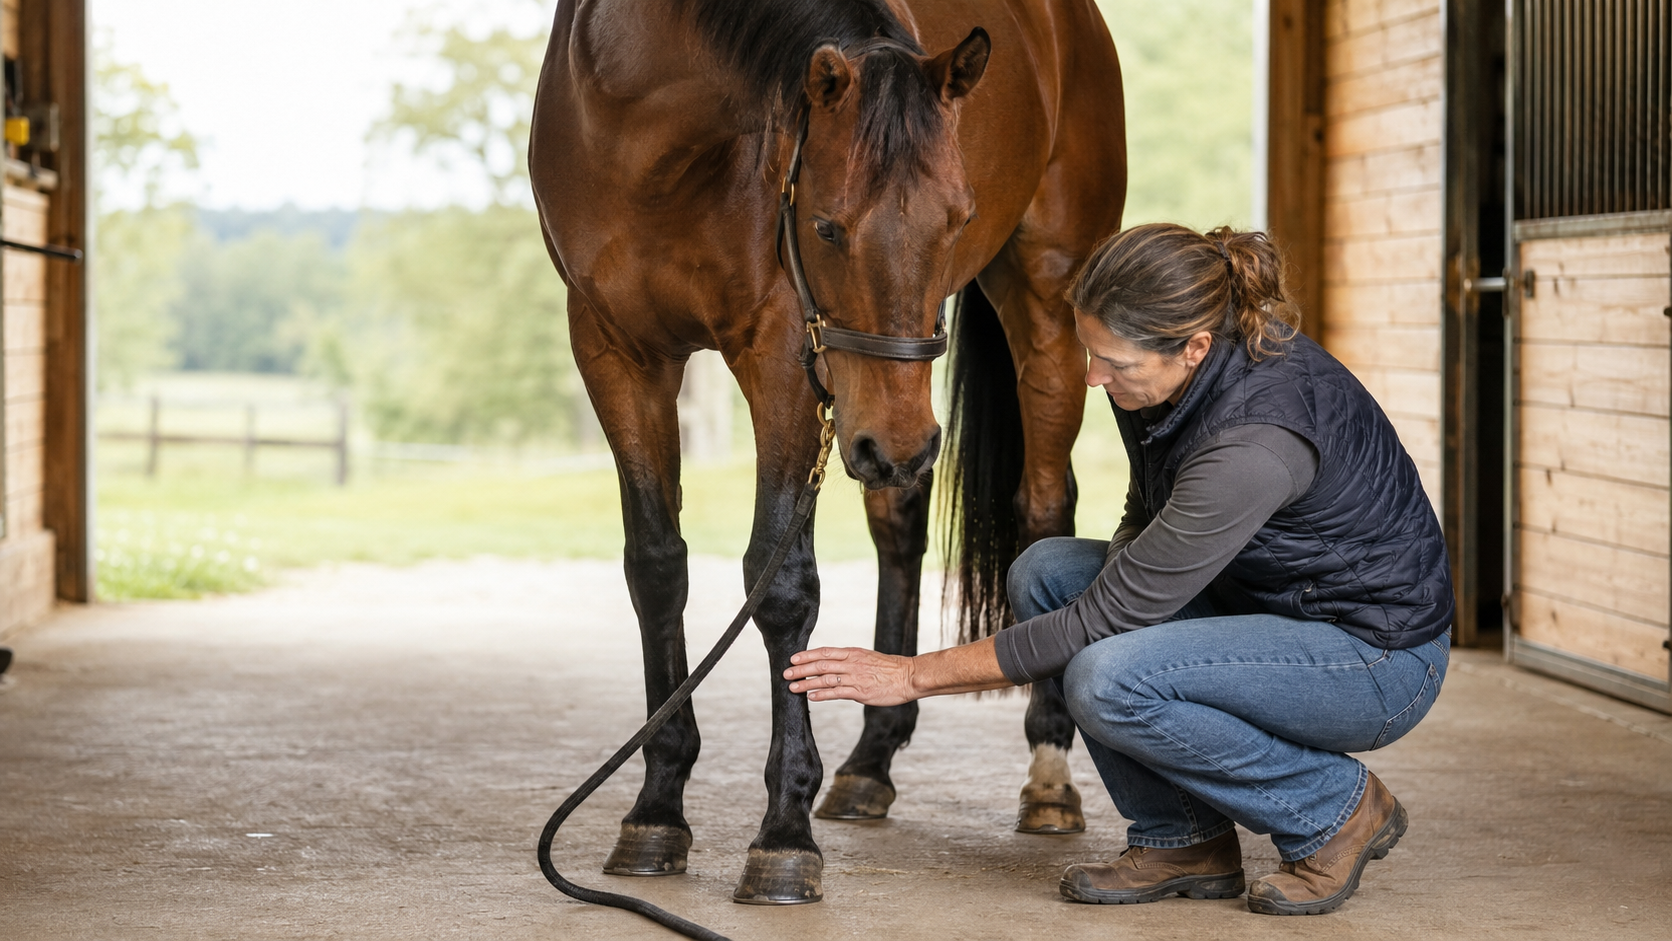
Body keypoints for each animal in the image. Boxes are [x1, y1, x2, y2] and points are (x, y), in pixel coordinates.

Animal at [530, 0, 1126, 904]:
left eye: (958, 217)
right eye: (827, 227)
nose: (899, 444)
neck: (647, 123)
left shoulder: (782, 352)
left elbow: (781, 587)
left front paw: (783, 832)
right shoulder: (615, 350)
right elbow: (656, 566)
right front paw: (657, 809)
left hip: (1040, 309)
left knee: (1043, 507)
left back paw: (1050, 769)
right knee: (900, 523)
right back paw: (870, 762)